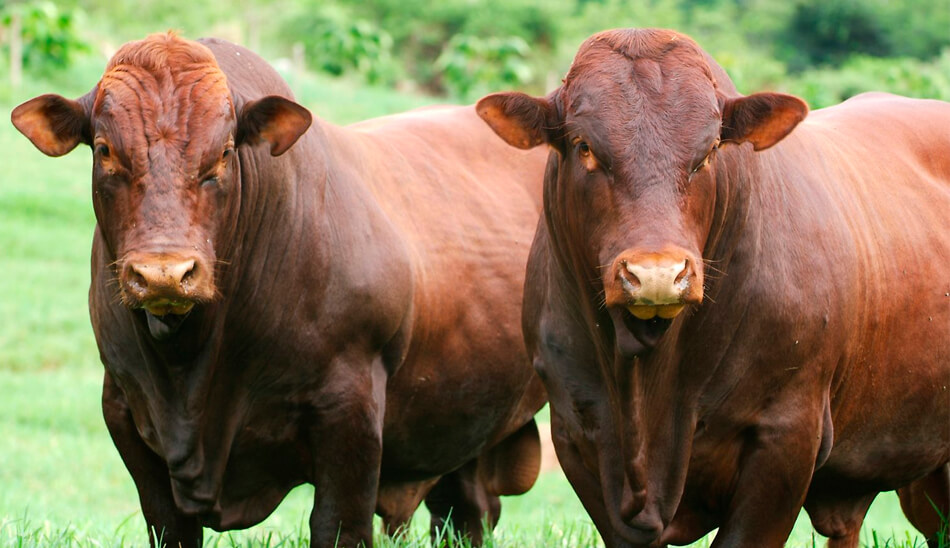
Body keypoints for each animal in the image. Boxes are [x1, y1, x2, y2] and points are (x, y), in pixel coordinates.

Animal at [13, 34, 552, 548]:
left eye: (225, 153)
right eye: (104, 149)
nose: (164, 273)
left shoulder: (351, 408)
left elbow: (337, 527)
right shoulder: (125, 406)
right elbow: (168, 525)